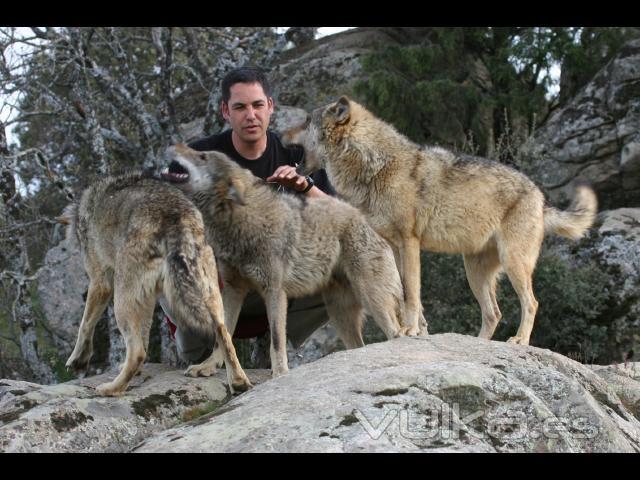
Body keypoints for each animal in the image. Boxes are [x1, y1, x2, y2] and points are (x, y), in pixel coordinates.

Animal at [60, 172, 250, 398]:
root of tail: (175, 216)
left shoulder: (99, 283)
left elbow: (85, 325)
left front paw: (77, 360)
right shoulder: (148, 298)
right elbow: (144, 334)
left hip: (123, 303)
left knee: (137, 352)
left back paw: (112, 389)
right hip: (202, 297)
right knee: (224, 332)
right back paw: (238, 382)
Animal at [162, 144, 408, 376]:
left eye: (202, 156)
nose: (173, 145)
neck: (241, 222)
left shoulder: (274, 291)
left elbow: (277, 341)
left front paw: (280, 373)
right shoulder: (232, 290)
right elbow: (223, 336)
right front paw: (208, 366)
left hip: (372, 299)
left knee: (395, 332)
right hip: (339, 313)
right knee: (359, 345)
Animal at [282, 96, 596, 344]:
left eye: (307, 120)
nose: (280, 131)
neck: (375, 164)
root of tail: (540, 197)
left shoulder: (410, 243)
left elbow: (411, 295)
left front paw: (409, 331)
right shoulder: (396, 248)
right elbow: (409, 296)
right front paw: (418, 331)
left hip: (512, 264)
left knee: (531, 303)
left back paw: (519, 340)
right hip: (474, 272)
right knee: (494, 313)